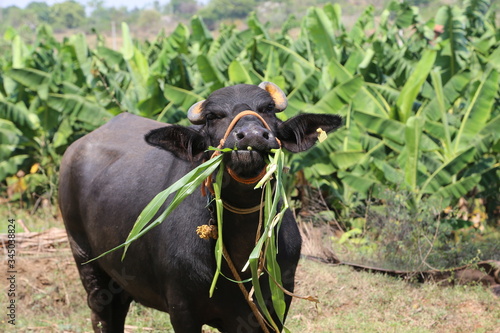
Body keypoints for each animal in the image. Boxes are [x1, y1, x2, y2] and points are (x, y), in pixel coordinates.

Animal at [57, 81, 340, 330]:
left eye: (268, 109)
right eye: (214, 116)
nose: (251, 136)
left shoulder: (275, 306)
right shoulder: (182, 310)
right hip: (85, 260)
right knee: (102, 314)